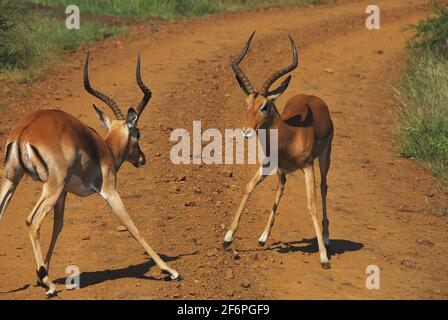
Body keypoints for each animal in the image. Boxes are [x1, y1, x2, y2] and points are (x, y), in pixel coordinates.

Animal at [0, 52, 178, 296]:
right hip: (51, 186)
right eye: (138, 134)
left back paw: (44, 279)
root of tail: (24, 132)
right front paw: (170, 270)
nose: (142, 159)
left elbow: (58, 226)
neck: (106, 150)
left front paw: (41, 272)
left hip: (13, 180)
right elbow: (132, 226)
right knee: (32, 221)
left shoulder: (64, 194)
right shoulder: (109, 191)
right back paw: (50, 286)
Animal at [223, 31, 332, 270]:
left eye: (265, 106)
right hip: (282, 171)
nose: (246, 130)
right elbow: (249, 187)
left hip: (325, 158)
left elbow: (311, 204)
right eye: (246, 103)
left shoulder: (308, 167)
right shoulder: (268, 164)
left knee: (324, 187)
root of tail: (314, 98)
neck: (288, 135)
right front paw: (227, 238)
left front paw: (324, 258)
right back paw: (263, 237)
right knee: (281, 187)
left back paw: (327, 238)